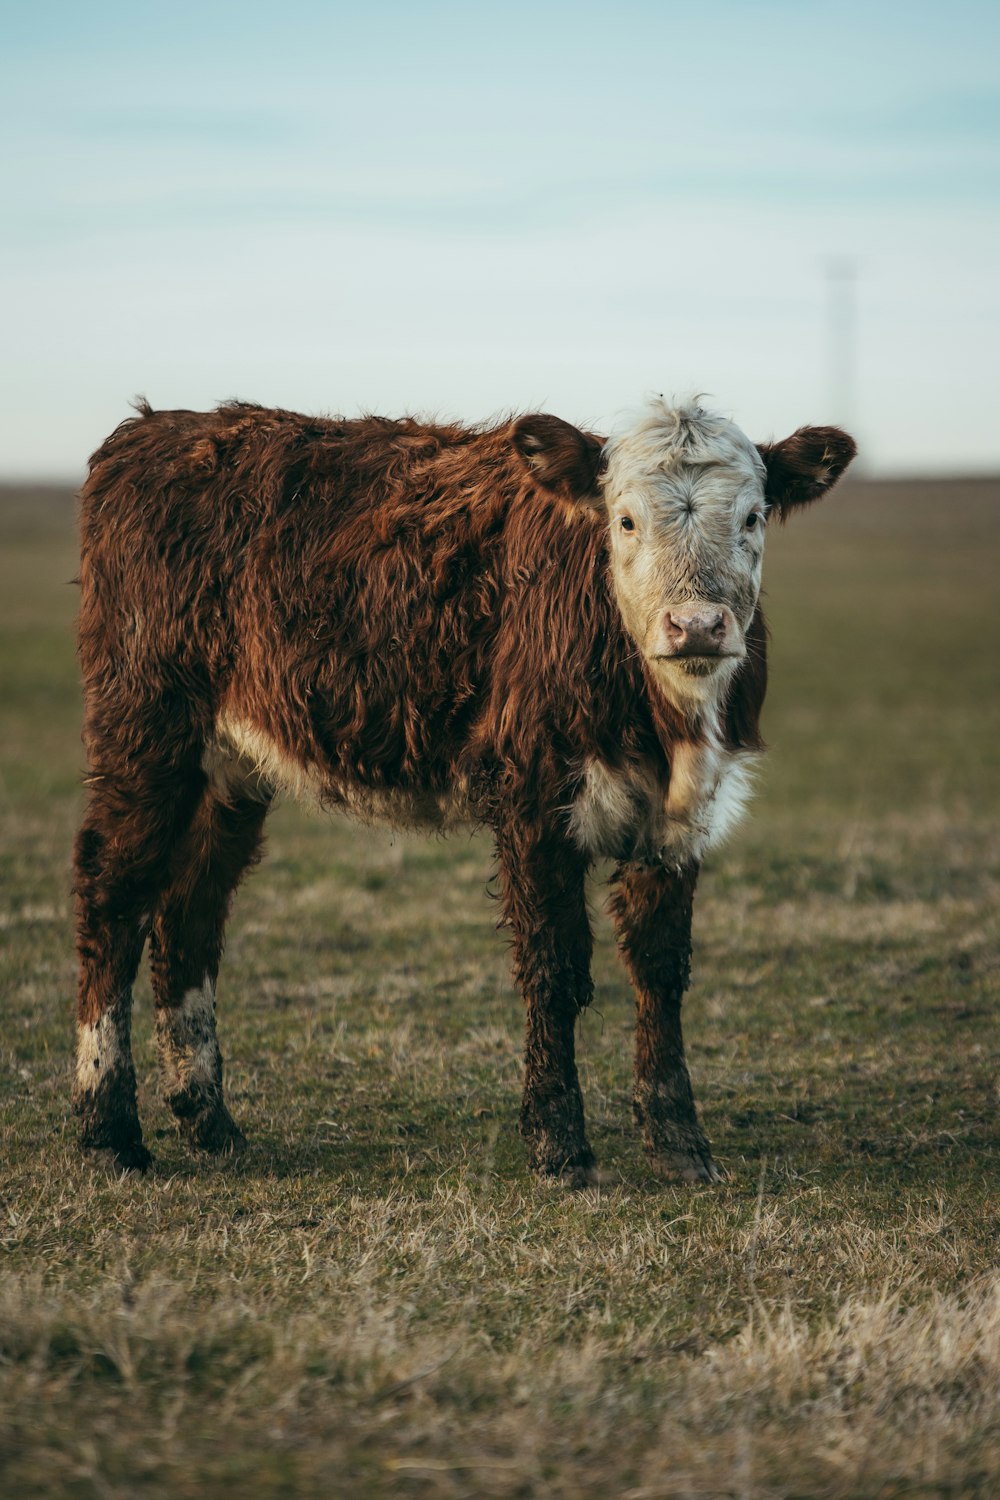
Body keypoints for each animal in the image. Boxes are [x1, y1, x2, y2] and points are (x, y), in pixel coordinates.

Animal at [72, 396, 851, 1182]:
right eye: (626, 520)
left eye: (751, 517)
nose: (695, 626)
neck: (665, 720)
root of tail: (157, 427)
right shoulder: (535, 797)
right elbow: (552, 965)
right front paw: (558, 1143)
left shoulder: (680, 818)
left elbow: (660, 968)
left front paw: (679, 1141)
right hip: (146, 731)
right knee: (113, 897)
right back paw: (108, 1130)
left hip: (229, 766)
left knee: (189, 914)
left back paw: (210, 1123)